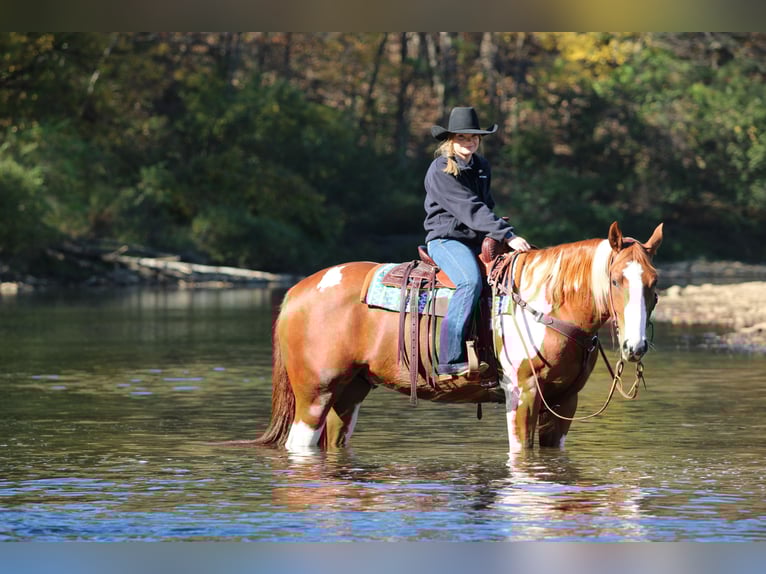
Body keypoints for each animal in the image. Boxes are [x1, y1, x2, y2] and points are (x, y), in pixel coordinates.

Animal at [252, 221, 663, 453]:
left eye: (654, 283)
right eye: (615, 281)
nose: (635, 347)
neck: (543, 302)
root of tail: (298, 291)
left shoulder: (565, 401)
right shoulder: (523, 394)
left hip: (349, 392)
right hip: (314, 395)